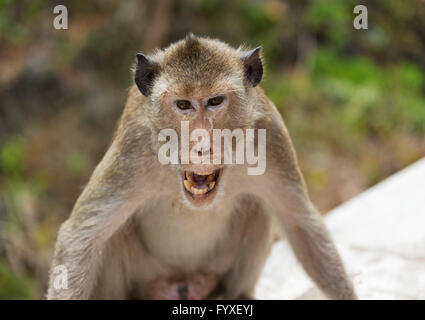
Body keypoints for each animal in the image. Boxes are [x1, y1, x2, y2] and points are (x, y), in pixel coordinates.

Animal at [48, 33, 356, 298]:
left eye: (215, 101)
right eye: (183, 104)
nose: (201, 145)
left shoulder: (271, 138)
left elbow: (300, 223)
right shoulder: (132, 149)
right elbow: (81, 237)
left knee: (256, 207)